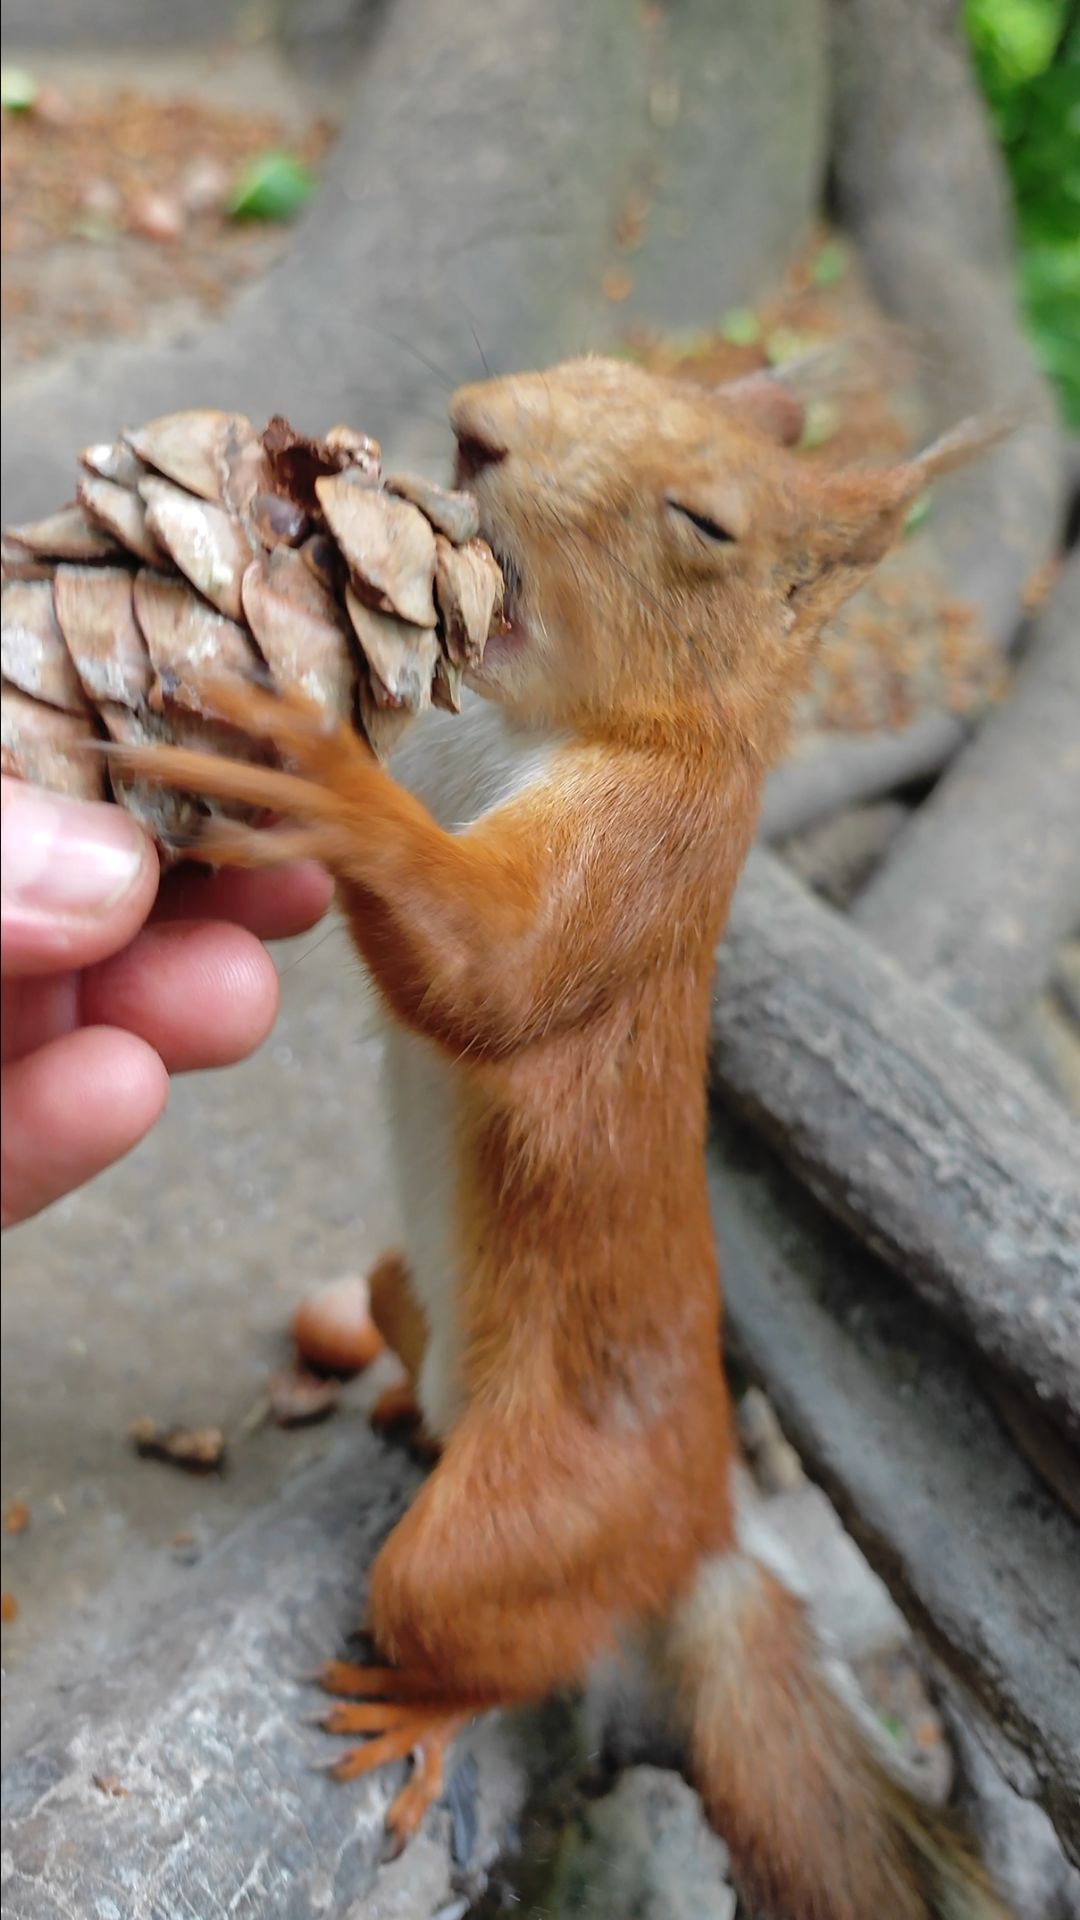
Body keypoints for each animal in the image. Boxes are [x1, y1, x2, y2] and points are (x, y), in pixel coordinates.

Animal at [116, 356, 1011, 1919]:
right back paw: (401, 1406)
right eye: (609, 375)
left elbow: (499, 973)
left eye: (705, 523)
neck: (537, 717)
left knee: (486, 1627)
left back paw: (419, 1706)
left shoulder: (644, 863)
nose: (475, 428)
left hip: (529, 1525)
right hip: (405, 1288)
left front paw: (318, 767)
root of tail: (701, 1527)